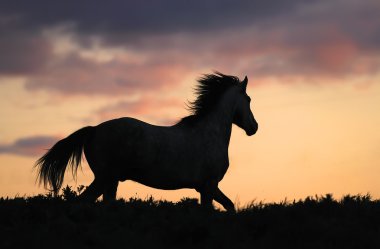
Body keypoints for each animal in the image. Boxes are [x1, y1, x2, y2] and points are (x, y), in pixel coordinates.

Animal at [35, 71, 258, 210]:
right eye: (248, 99)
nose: (254, 128)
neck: (209, 133)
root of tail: (94, 130)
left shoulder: (206, 188)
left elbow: (229, 206)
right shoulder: (209, 185)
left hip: (110, 181)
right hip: (104, 178)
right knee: (80, 203)